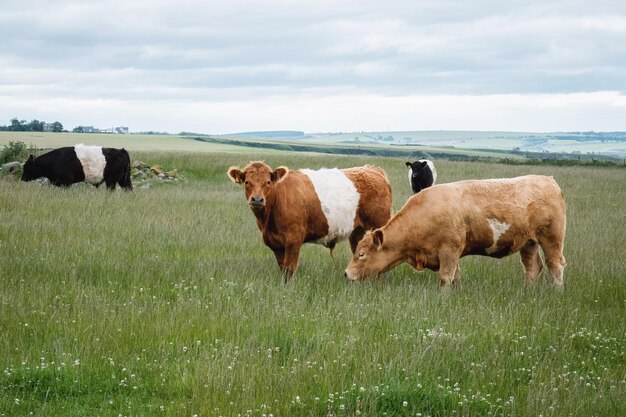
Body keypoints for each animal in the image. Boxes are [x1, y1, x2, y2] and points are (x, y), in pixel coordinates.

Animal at [227, 161, 390, 282]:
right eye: (247, 182)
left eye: (268, 182)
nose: (257, 199)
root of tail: (372, 169)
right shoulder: (275, 244)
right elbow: (282, 268)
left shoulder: (293, 239)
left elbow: (289, 269)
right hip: (357, 232)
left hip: (378, 225)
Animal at [344, 174, 564, 288]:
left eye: (361, 254)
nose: (346, 274)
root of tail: (548, 180)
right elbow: (456, 277)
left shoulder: (449, 251)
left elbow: (445, 278)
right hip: (528, 243)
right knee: (533, 267)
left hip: (551, 239)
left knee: (555, 266)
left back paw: (557, 291)